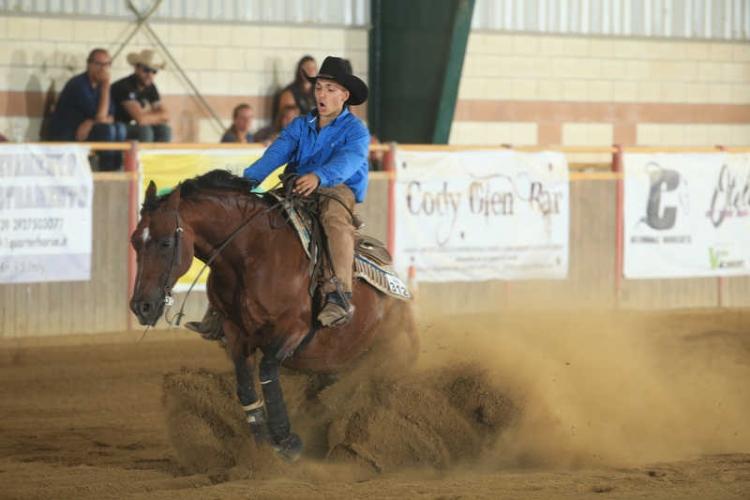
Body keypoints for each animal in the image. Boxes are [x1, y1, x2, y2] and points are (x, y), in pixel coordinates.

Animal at [131, 171, 420, 460]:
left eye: (166, 242)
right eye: (135, 241)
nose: (141, 306)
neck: (253, 256)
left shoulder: (292, 329)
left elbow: (267, 371)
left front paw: (286, 441)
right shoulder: (235, 332)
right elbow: (245, 386)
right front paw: (262, 446)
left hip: (389, 356)